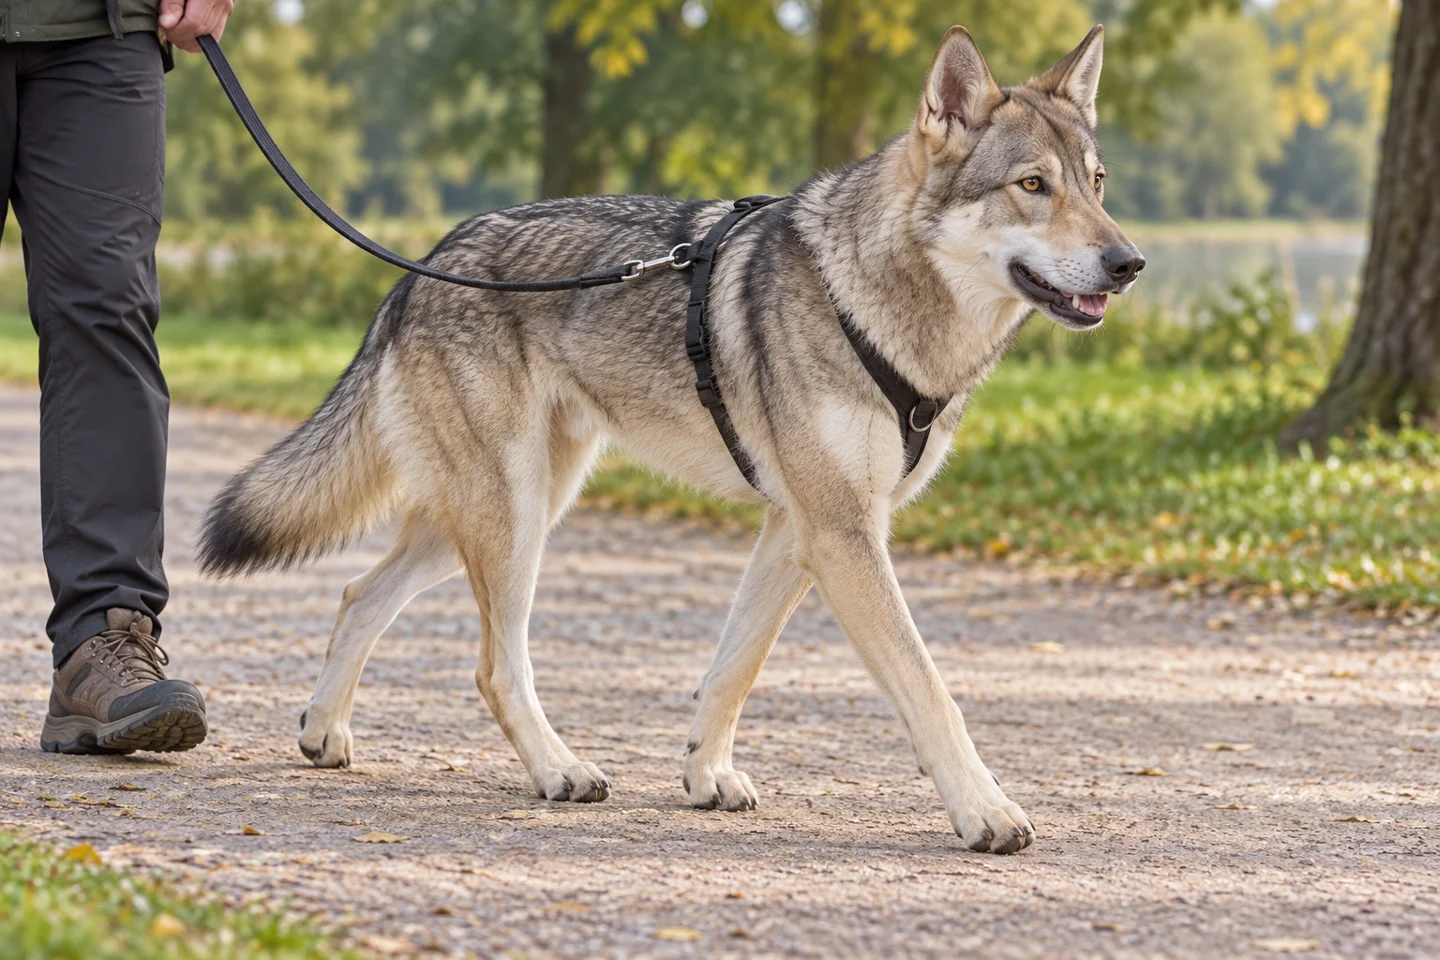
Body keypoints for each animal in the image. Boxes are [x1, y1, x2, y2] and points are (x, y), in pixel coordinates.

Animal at [199, 25, 1143, 854]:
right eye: (1032, 185)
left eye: (1097, 182)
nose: (1130, 263)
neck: (878, 304)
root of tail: (423, 264)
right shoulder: (843, 535)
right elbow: (930, 687)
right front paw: (986, 813)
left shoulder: (799, 531)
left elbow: (734, 668)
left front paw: (705, 776)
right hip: (513, 516)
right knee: (494, 666)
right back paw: (559, 770)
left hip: (508, 508)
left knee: (359, 593)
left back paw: (323, 733)